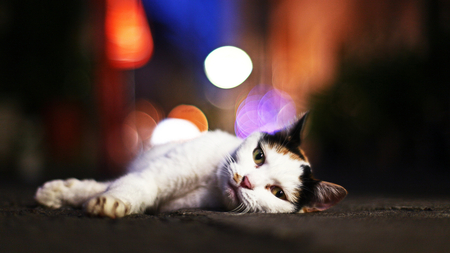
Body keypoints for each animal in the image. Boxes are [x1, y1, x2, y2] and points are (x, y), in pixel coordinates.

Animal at [35, 113, 346, 218]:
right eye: (259, 156)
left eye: (277, 193)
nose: (245, 180)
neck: (211, 183)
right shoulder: (159, 173)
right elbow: (131, 185)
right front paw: (109, 202)